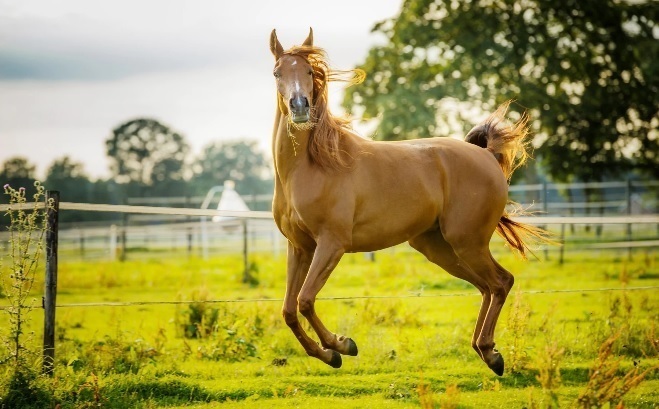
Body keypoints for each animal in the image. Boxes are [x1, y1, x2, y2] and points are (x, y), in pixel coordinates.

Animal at [266, 27, 548, 374]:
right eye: (277, 72)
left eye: (308, 71)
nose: (300, 106)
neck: (310, 166)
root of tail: (484, 155)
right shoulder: (300, 247)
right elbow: (289, 310)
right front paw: (329, 355)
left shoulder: (331, 244)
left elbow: (305, 300)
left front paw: (342, 345)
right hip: (440, 248)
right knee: (487, 286)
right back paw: (486, 351)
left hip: (467, 242)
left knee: (500, 282)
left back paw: (490, 353)